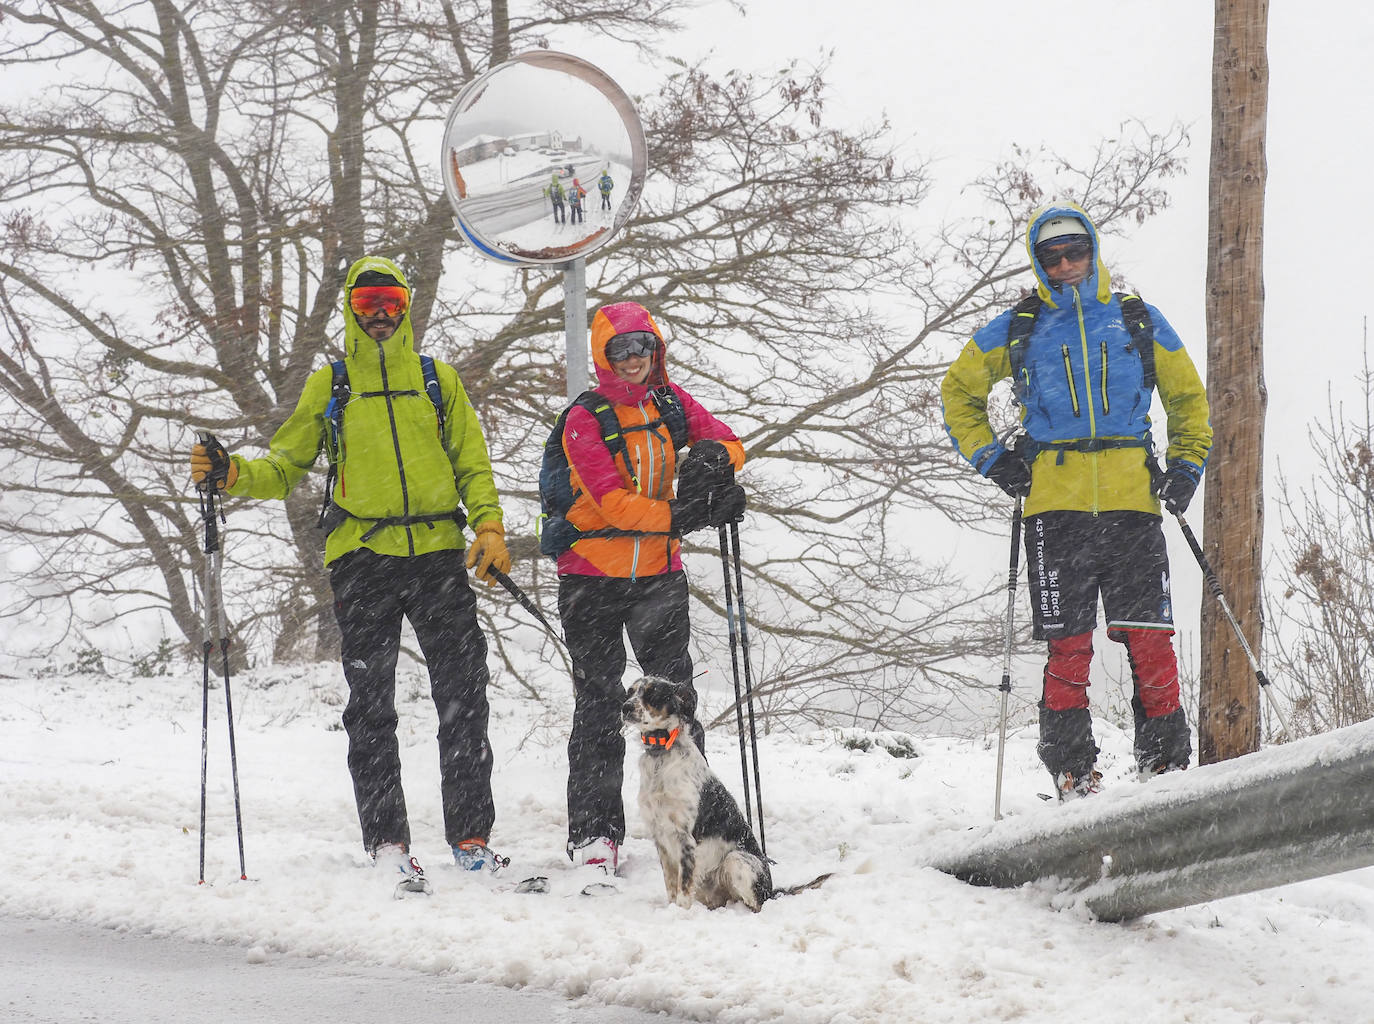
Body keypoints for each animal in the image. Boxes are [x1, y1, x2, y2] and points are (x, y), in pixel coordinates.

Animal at [621, 676, 824, 907]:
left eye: (652, 694)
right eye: (630, 692)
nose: (625, 707)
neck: (660, 755)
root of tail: (771, 891)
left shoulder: (685, 839)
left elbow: (683, 890)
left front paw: (680, 912)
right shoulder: (661, 838)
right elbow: (671, 886)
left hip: (735, 860)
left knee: (757, 904)